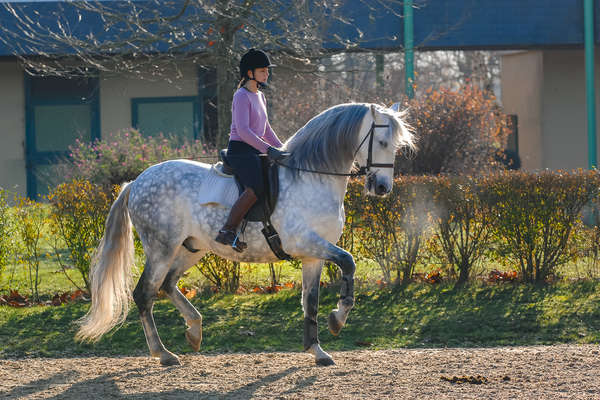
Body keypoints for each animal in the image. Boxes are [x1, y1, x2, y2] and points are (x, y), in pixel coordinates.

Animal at [75, 102, 414, 366]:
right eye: (382, 141)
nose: (382, 188)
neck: (311, 176)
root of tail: (136, 182)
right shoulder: (306, 242)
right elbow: (349, 262)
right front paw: (338, 320)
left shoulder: (313, 254)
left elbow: (311, 300)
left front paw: (317, 350)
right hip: (162, 248)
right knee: (145, 294)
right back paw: (164, 354)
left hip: (191, 248)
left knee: (168, 284)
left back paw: (194, 331)